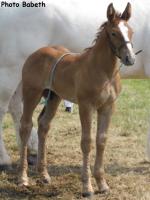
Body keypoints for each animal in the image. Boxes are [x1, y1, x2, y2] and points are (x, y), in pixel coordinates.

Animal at [19, 2, 135, 198]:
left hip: (54, 97)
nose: (130, 58)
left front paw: (102, 184)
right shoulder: (86, 106)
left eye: (131, 31)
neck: (103, 71)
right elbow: (87, 142)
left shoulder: (108, 107)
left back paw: (44, 175)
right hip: (31, 94)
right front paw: (87, 187)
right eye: (114, 33)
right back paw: (23, 178)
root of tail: (36, 52)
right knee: (26, 126)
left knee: (43, 125)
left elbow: (101, 140)